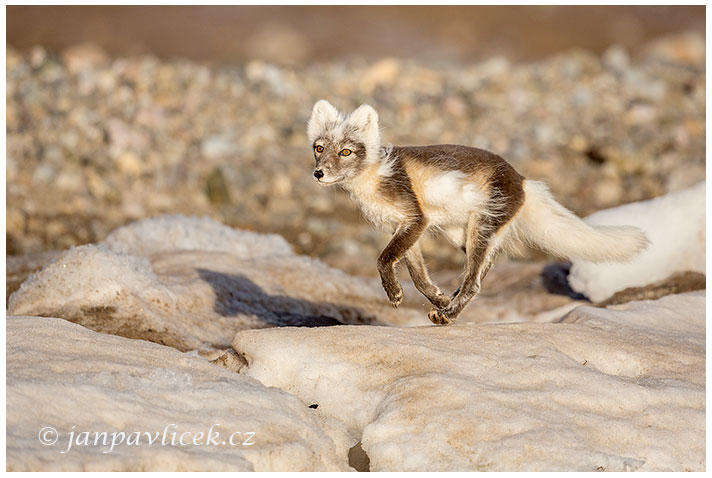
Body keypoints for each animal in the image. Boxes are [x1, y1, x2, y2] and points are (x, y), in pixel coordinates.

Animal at [306, 100, 652, 324]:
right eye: (319, 148)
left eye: (346, 151)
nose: (318, 174)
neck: (374, 176)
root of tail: (523, 181)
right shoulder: (405, 227)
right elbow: (418, 275)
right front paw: (437, 296)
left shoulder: (415, 218)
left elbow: (382, 260)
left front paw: (394, 293)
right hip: (465, 236)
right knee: (481, 274)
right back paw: (449, 306)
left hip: (481, 228)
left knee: (474, 282)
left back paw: (449, 316)